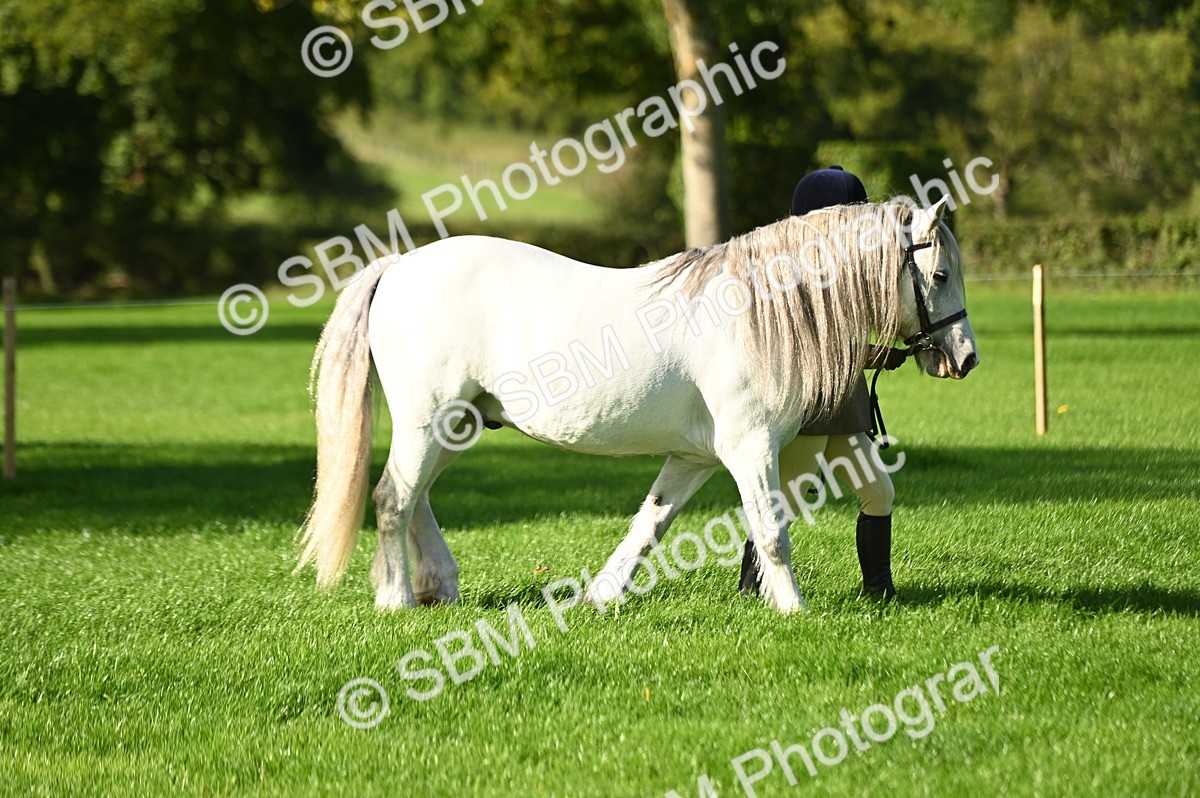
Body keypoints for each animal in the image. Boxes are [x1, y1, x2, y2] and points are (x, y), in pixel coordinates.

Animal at [297, 196, 977, 614]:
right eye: (941, 275)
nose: (965, 357)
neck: (759, 310)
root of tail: (397, 266)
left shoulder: (696, 458)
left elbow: (650, 524)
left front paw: (599, 596)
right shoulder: (749, 448)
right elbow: (771, 530)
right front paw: (793, 609)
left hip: (457, 424)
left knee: (416, 499)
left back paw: (440, 585)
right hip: (428, 421)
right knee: (394, 497)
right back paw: (396, 599)